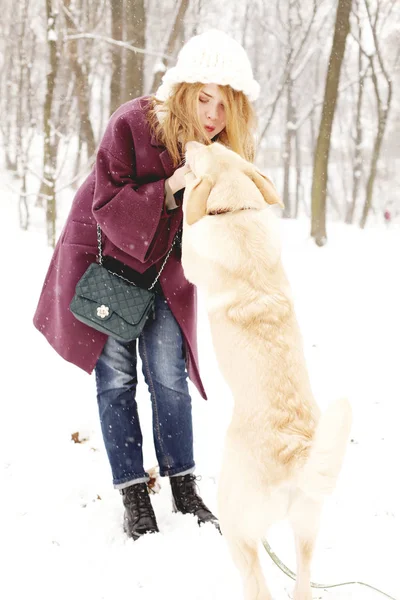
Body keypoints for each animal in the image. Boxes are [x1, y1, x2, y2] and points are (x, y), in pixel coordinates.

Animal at [181, 142, 354, 600]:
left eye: (206, 149)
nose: (189, 144)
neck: (238, 210)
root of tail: (296, 456)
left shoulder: (192, 255)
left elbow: (187, 224)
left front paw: (185, 192)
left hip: (235, 527)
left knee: (257, 585)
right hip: (307, 531)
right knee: (303, 584)